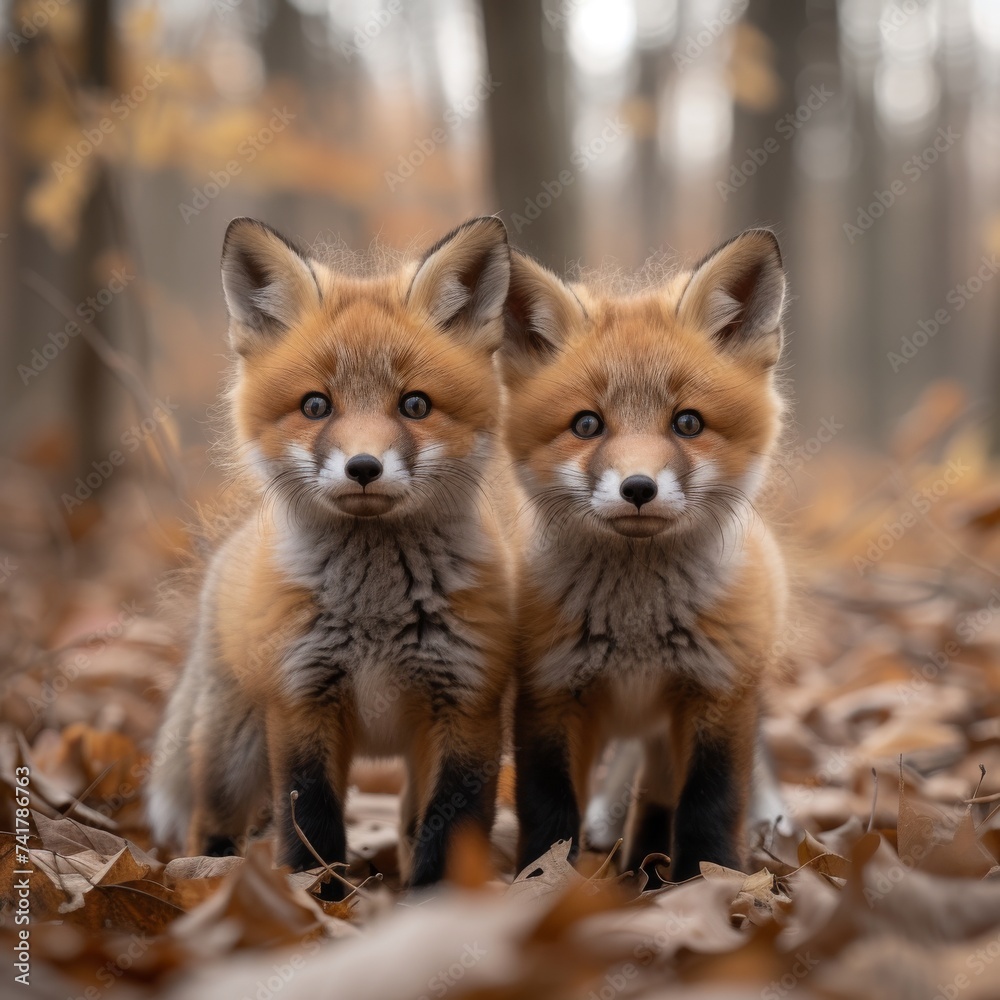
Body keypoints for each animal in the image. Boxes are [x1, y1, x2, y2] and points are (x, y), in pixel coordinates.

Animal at [147, 215, 515, 897]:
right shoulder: (302, 700)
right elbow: (312, 821)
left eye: (415, 405)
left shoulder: (466, 705)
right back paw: (208, 875)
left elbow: (447, 827)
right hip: (234, 751)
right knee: (209, 822)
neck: (376, 615)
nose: (363, 467)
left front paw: (430, 905)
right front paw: (317, 898)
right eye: (316, 405)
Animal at [500, 228, 790, 883]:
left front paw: (712, 880)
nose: (638, 487)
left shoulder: (717, 691)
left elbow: (711, 803)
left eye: (688, 423)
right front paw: (538, 883)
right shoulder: (550, 694)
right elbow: (549, 810)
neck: (636, 629)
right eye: (587, 424)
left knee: (660, 790)